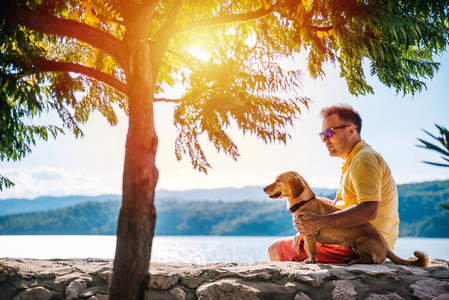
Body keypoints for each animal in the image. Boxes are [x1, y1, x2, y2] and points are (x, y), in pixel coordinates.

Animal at [264, 171, 428, 268]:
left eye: (278, 180)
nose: (264, 188)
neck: (303, 202)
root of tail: (387, 247)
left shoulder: (310, 233)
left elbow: (311, 250)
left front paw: (311, 261)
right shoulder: (306, 234)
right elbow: (308, 248)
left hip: (361, 241)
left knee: (373, 260)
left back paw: (354, 261)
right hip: (355, 246)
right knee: (366, 258)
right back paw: (351, 260)